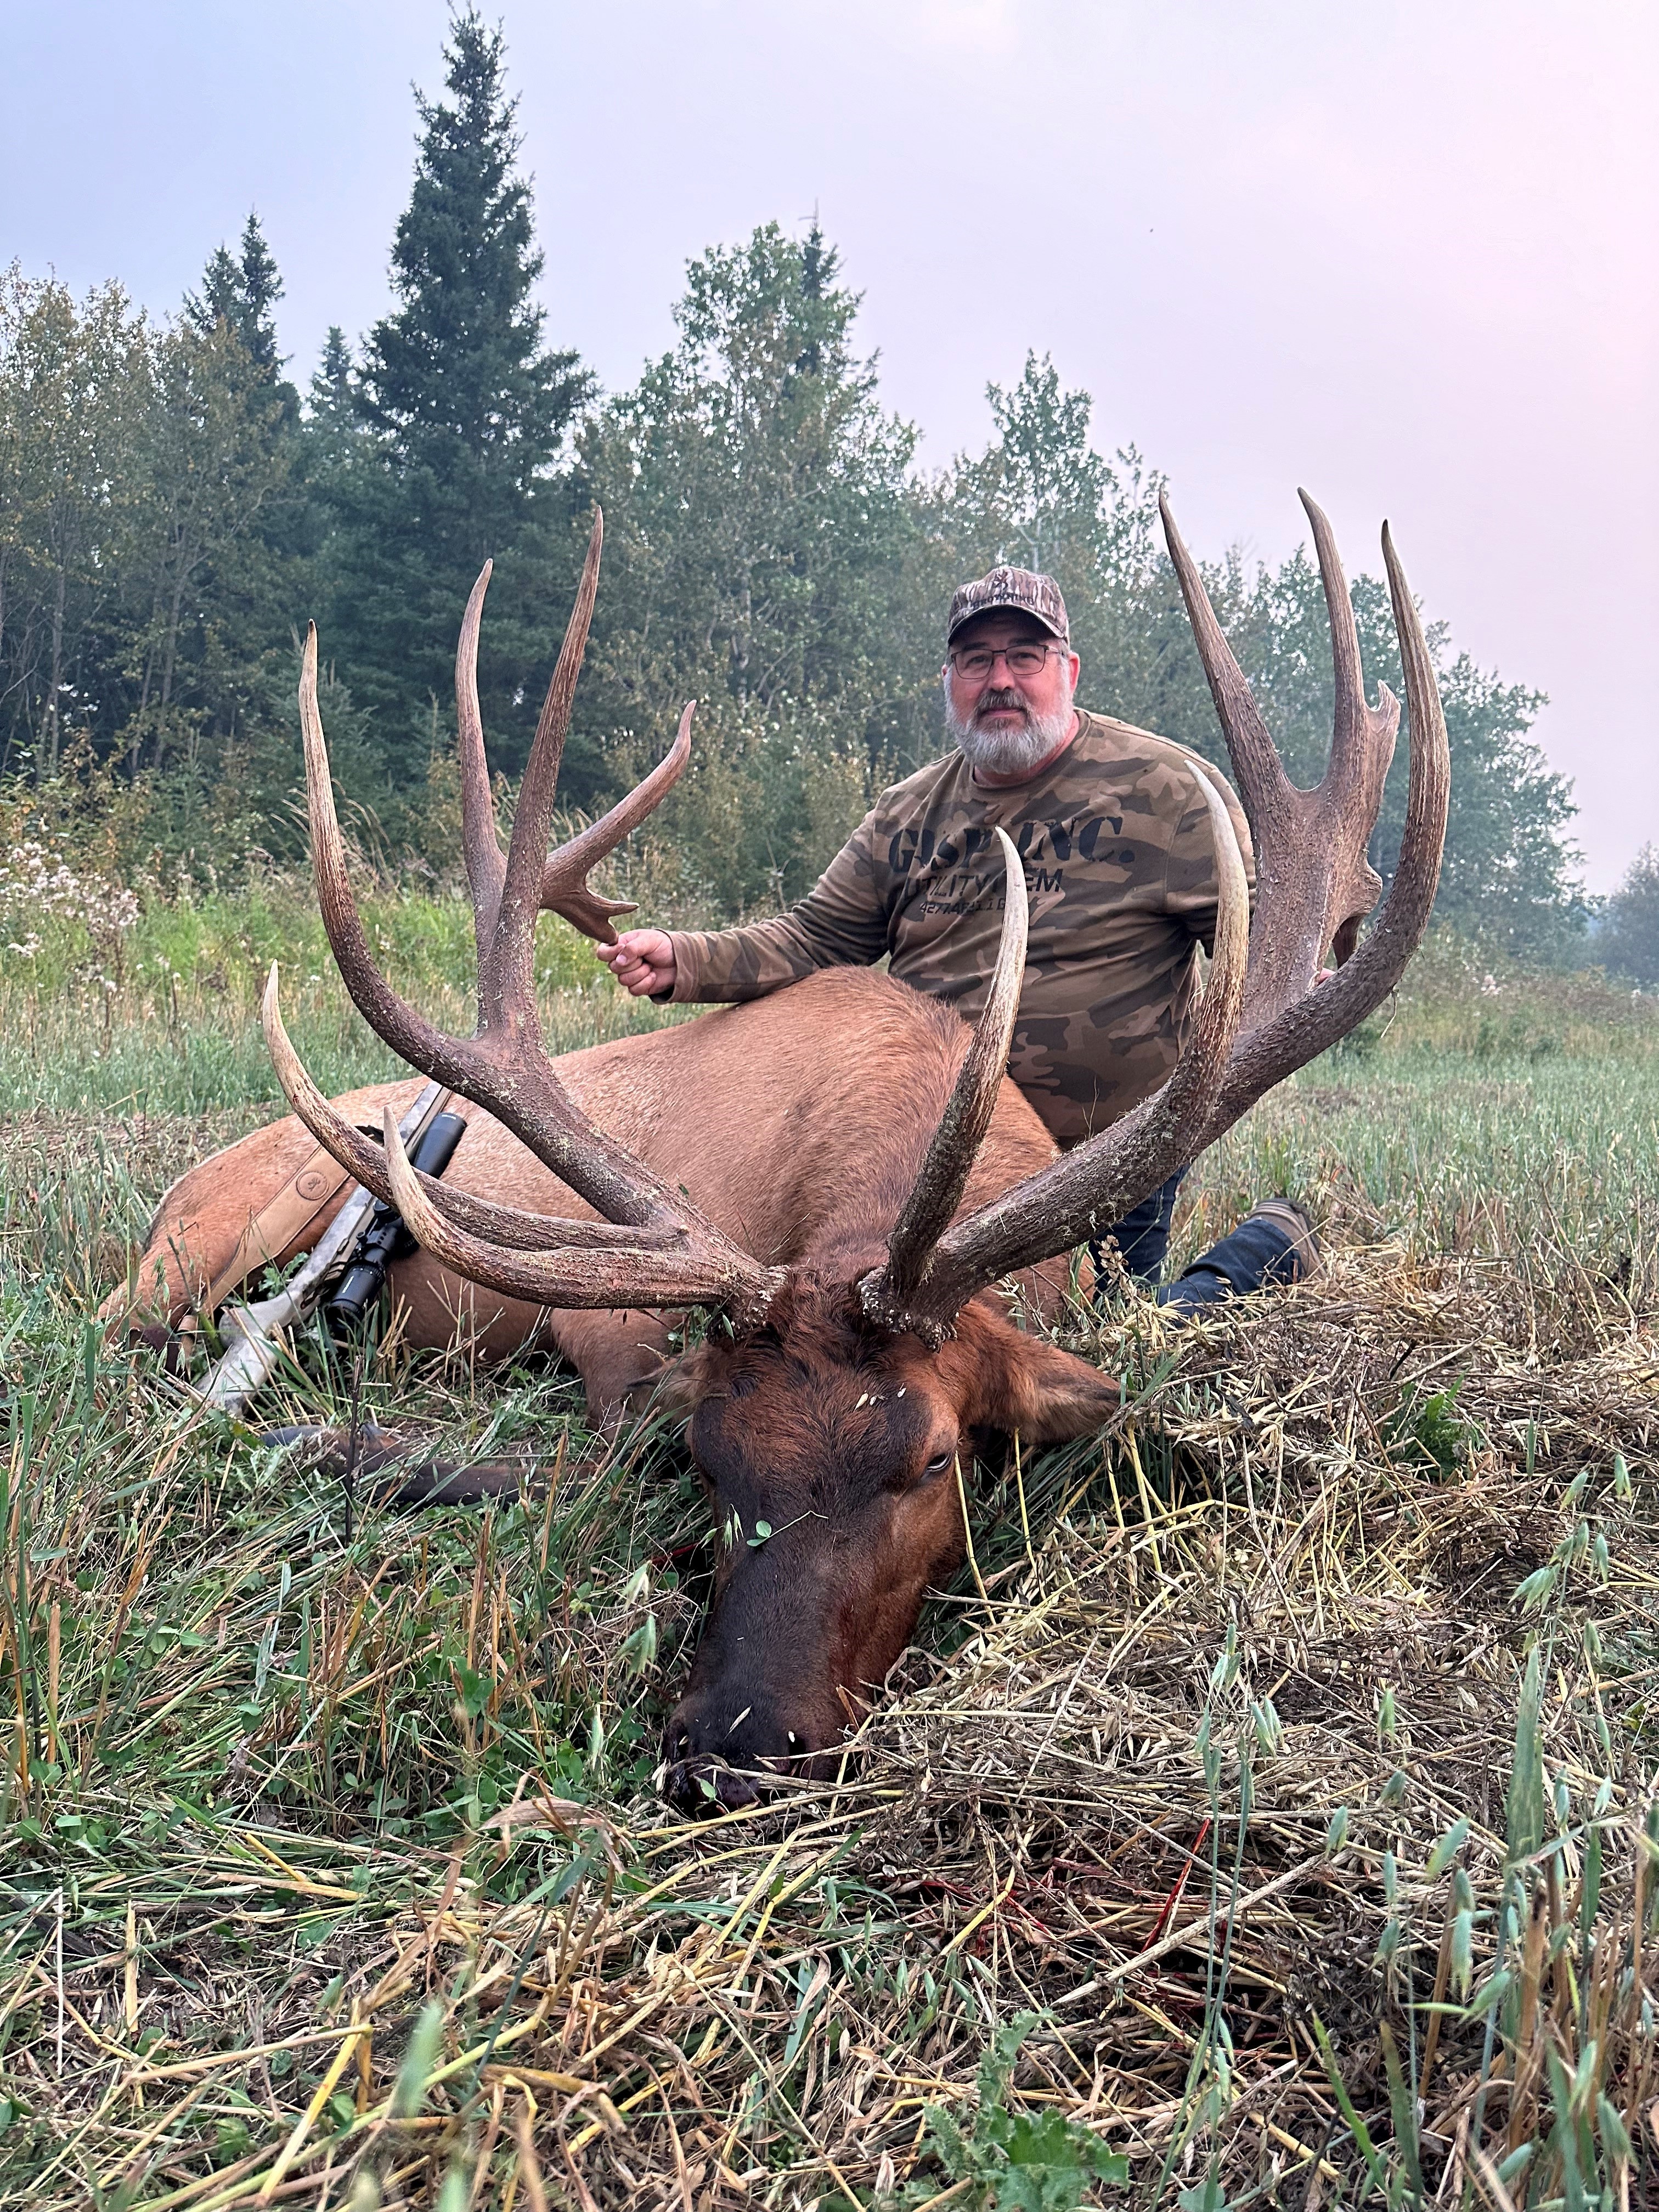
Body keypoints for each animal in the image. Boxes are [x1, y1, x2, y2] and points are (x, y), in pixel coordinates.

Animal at [114, 496, 1448, 1812]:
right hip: (210, 1233)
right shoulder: (611, 1328)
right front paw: (351, 1449)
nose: (732, 1751)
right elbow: (579, 1468)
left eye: (933, 1458)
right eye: (713, 1458)